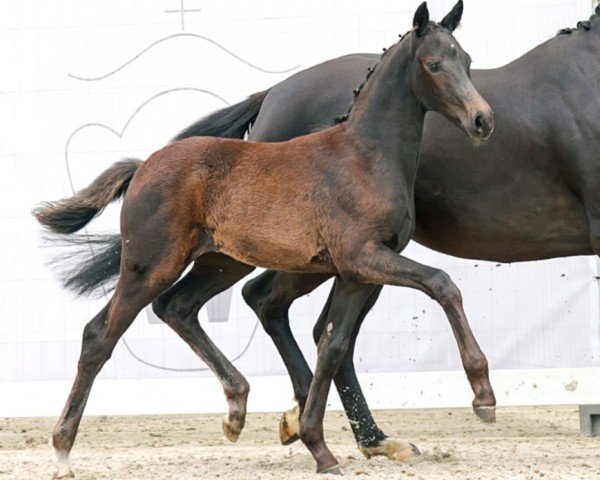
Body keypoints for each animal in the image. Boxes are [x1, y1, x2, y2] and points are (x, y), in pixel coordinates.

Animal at [34, 2, 492, 476]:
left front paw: (319, 447)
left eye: (467, 60)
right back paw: (62, 452)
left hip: (221, 262)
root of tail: (142, 167)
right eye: (433, 64)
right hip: (150, 265)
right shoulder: (362, 257)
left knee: (176, 307)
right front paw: (483, 395)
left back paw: (236, 410)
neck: (366, 157)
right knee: (99, 336)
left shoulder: (357, 271)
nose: (482, 120)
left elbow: (332, 345)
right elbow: (441, 283)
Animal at [170, 3, 600, 460]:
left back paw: (352, 432)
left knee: (302, 321)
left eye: (468, 61)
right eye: (434, 65)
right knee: (256, 303)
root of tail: (272, 95)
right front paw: (483, 394)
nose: (482, 121)